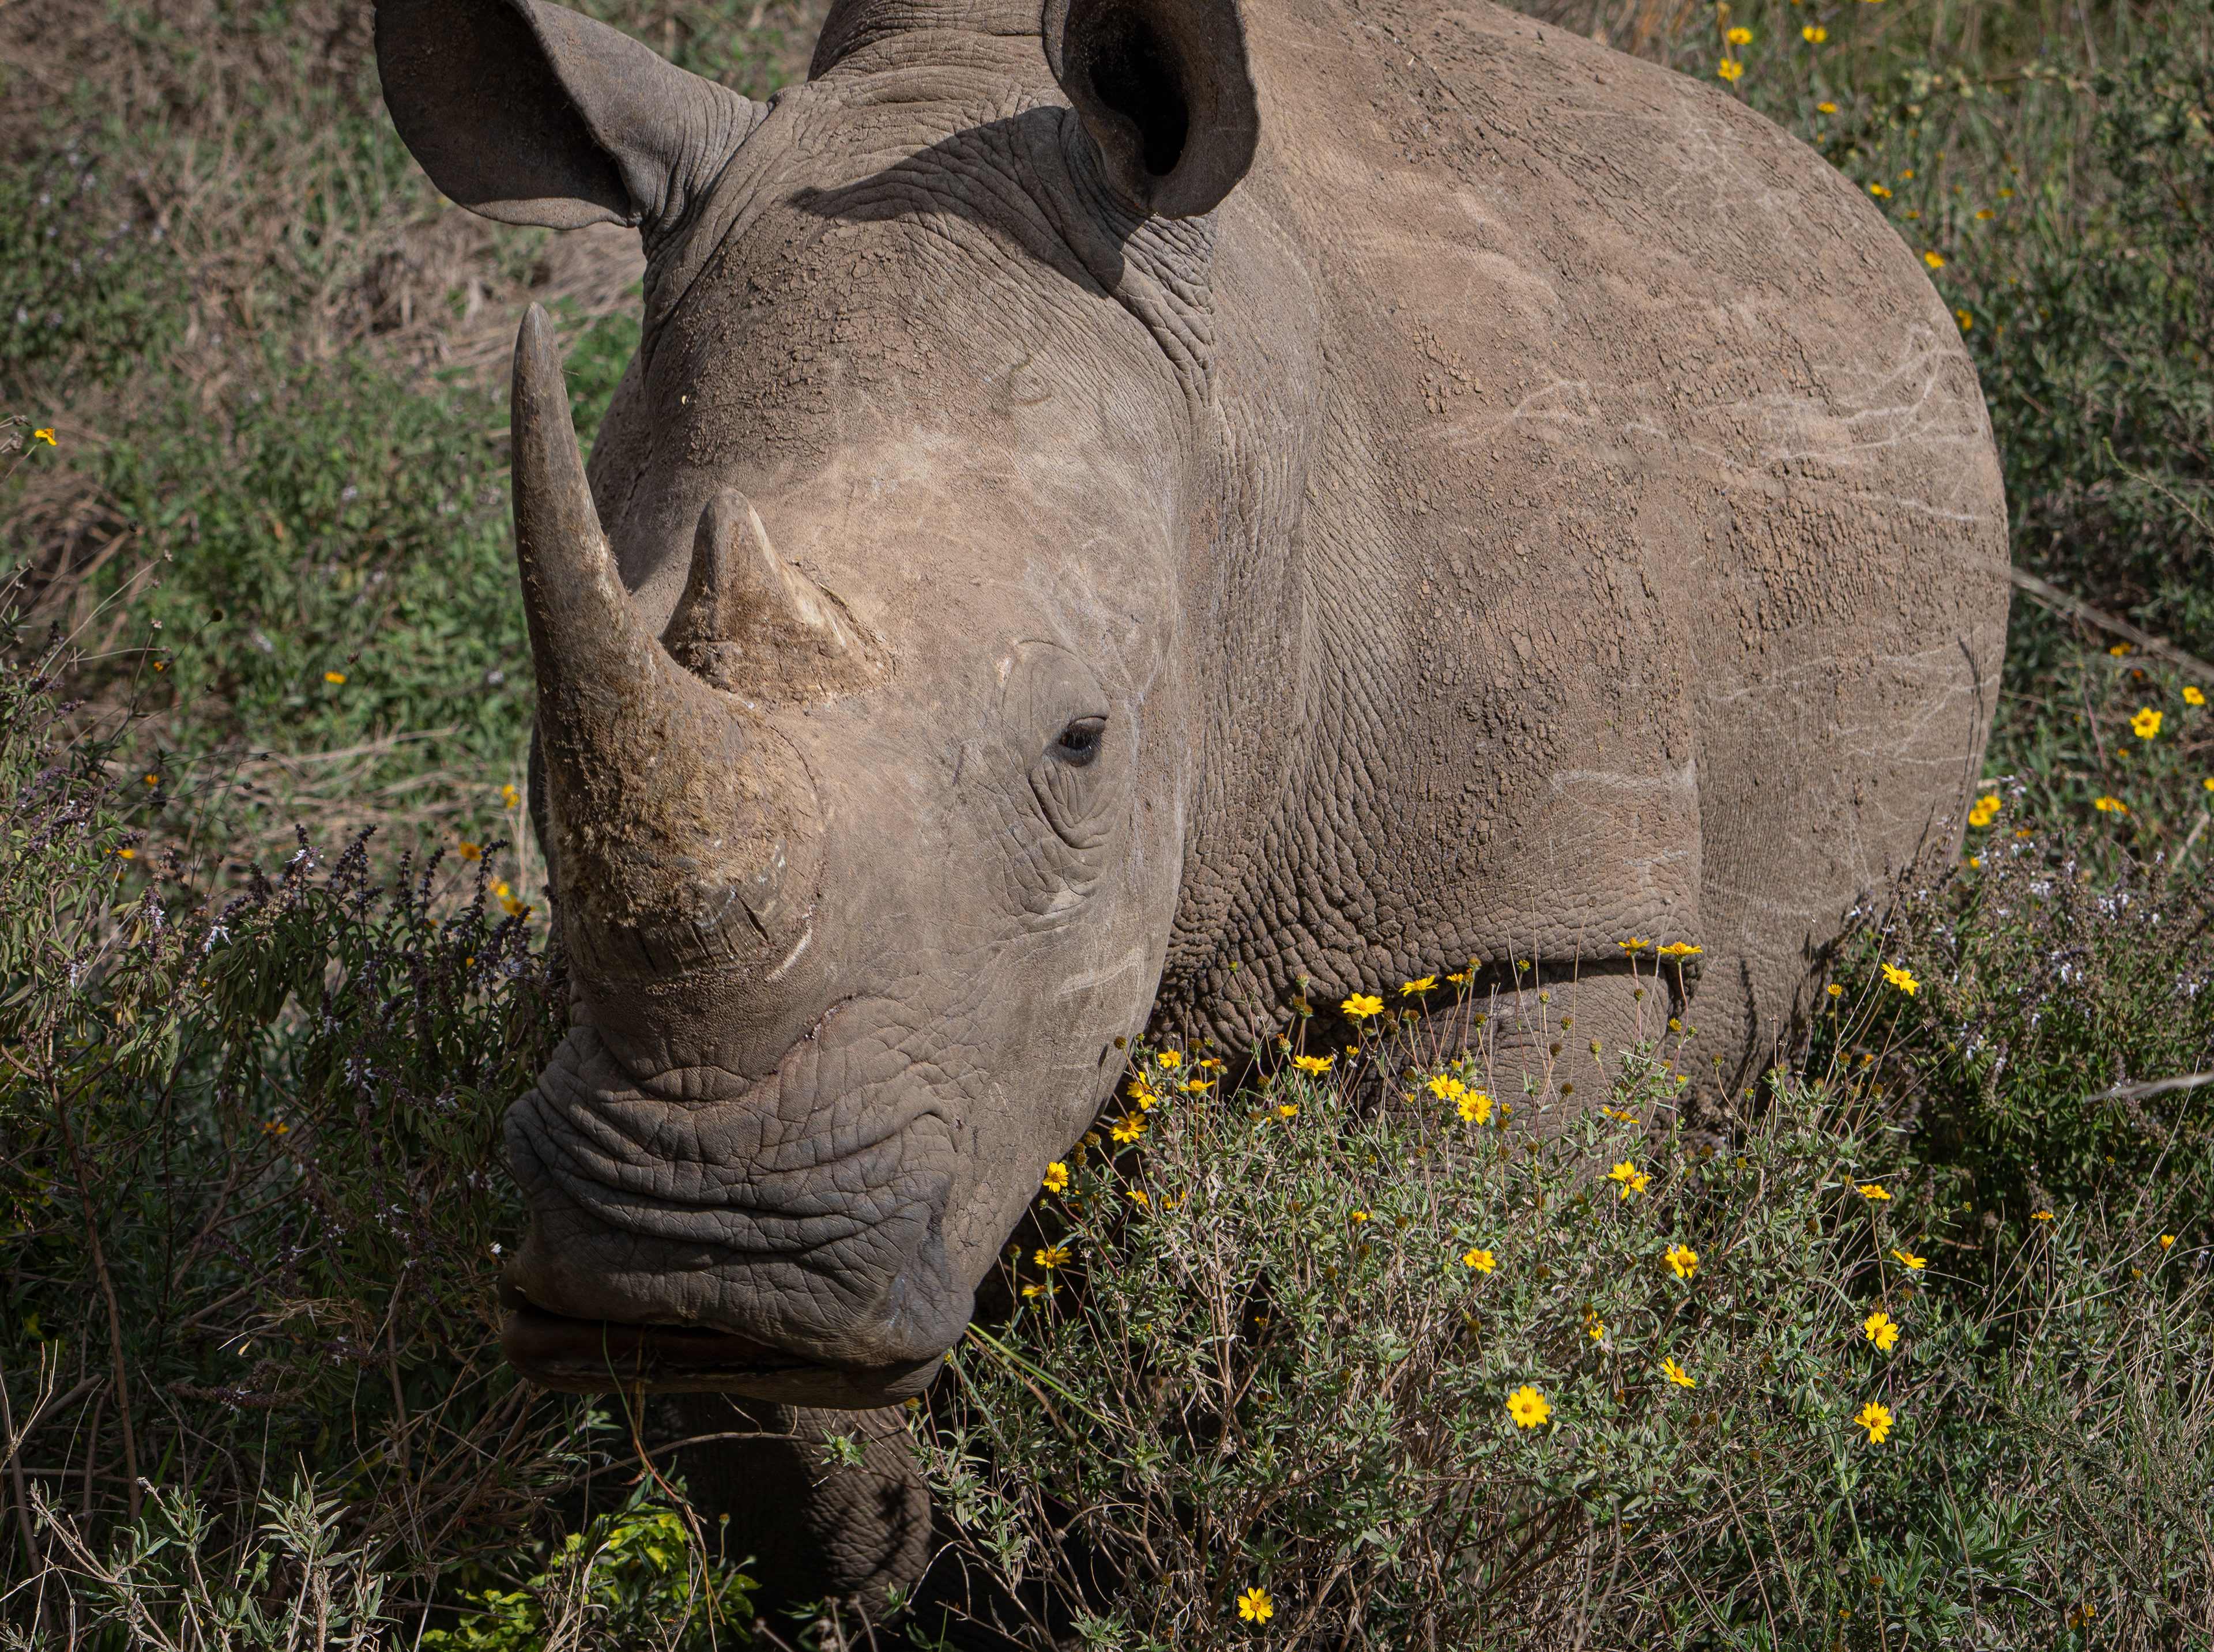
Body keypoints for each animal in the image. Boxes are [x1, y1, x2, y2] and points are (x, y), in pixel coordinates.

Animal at [374, 0, 2007, 1612]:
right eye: (542, 765)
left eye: (1083, 742)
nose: (692, 1246)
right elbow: (782, 1393)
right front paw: (877, 1556)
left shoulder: (1536, 909)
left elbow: (1443, 1314)